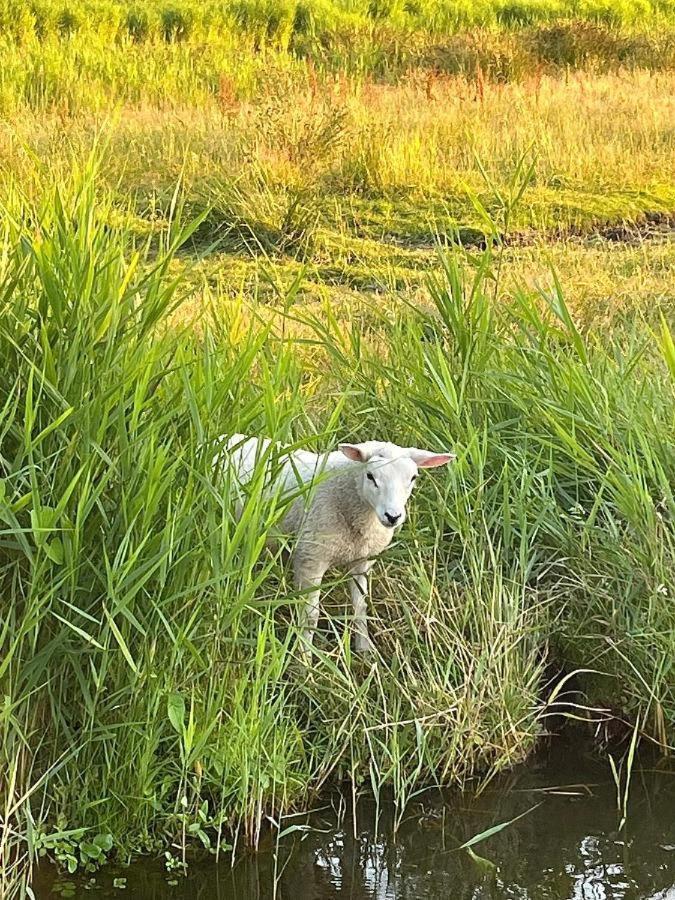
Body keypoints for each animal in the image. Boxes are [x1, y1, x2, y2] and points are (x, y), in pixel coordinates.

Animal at [220, 434, 454, 652]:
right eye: (371, 476)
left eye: (413, 477)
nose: (393, 516)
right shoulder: (310, 558)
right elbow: (310, 617)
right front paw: (305, 659)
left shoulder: (362, 560)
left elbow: (360, 607)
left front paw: (364, 649)